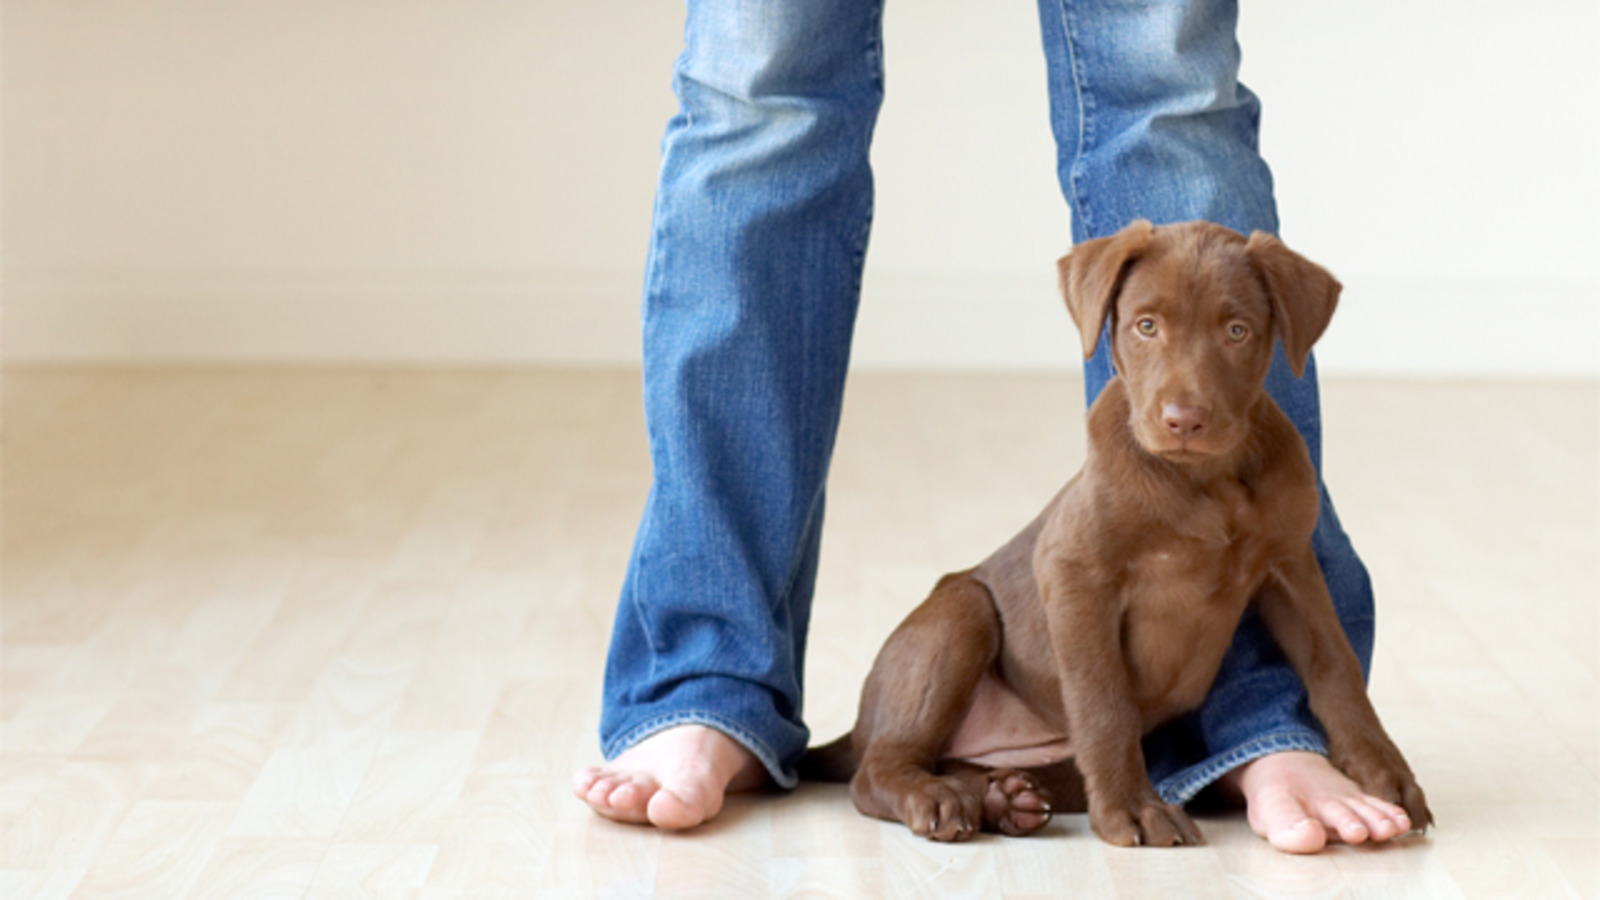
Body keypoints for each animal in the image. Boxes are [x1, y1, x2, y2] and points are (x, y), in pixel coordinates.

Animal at [806, 217, 1433, 839]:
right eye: (1146, 326)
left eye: (1237, 331)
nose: (1184, 420)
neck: (1207, 480)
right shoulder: (1075, 572)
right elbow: (1104, 701)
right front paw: (1133, 810)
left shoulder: (1290, 565)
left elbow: (1336, 666)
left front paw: (1386, 772)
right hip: (960, 615)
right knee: (875, 771)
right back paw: (938, 797)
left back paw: (1004, 799)